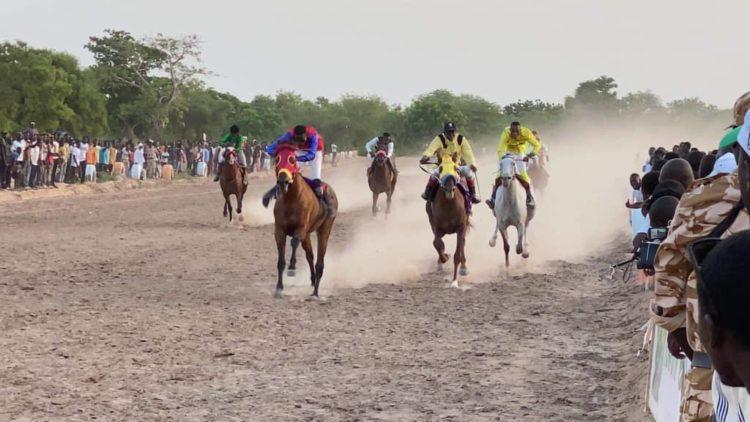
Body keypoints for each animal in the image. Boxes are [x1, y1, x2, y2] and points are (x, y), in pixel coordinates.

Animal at [272, 144, 338, 298]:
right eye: (277, 159)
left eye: (292, 160)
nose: (282, 180)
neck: (291, 200)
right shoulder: (279, 230)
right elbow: (280, 261)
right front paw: (279, 287)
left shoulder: (301, 228)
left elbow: (294, 242)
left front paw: (292, 267)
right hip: (308, 235)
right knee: (310, 255)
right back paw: (313, 281)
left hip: (324, 229)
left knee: (320, 261)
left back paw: (315, 292)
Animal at [425, 153, 470, 287]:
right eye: (440, 169)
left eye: (455, 168)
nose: (449, 189)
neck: (449, 206)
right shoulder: (437, 227)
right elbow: (437, 243)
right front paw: (444, 257)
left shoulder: (461, 228)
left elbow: (457, 254)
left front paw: (454, 281)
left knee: (463, 244)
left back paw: (464, 267)